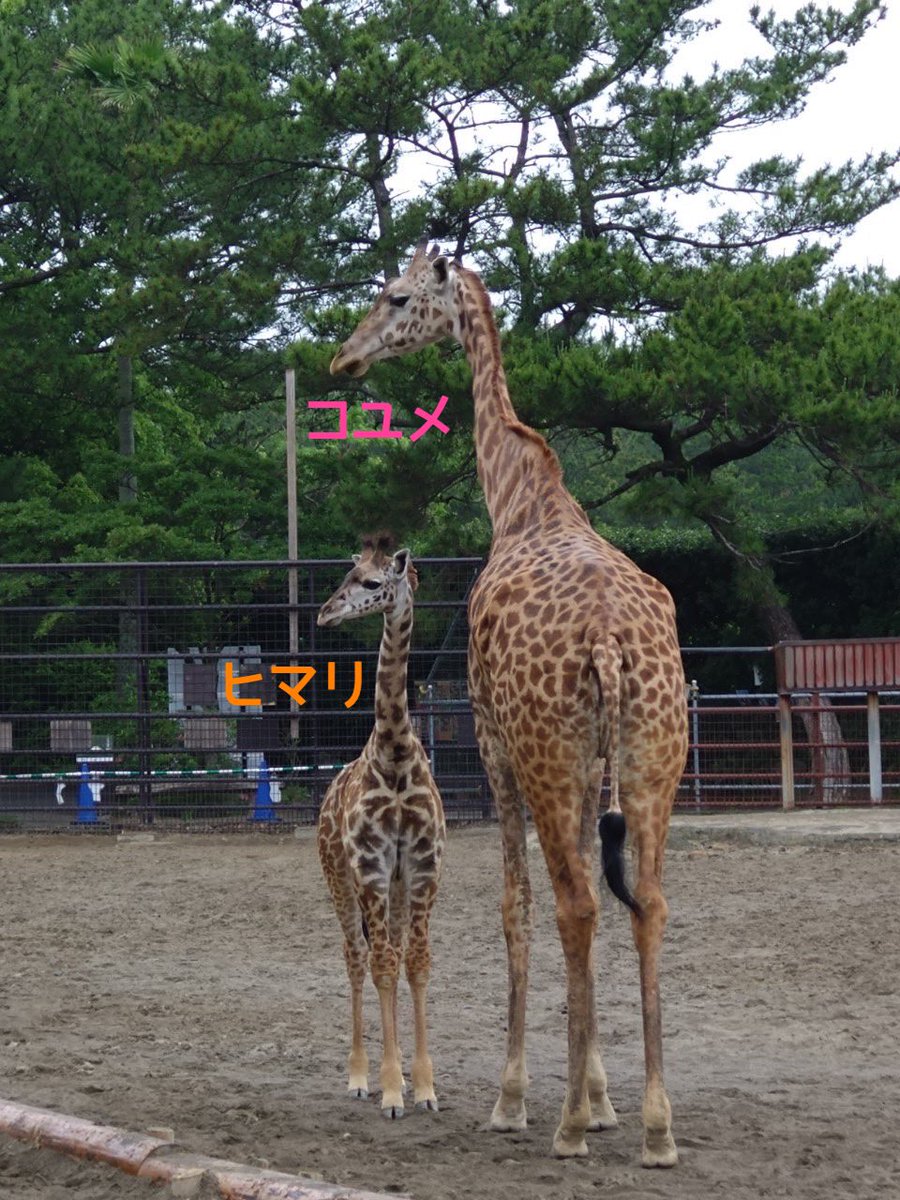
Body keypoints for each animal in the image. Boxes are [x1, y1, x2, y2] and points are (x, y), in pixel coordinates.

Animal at [331, 241, 691, 1161]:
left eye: (396, 297)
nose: (345, 359)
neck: (521, 498)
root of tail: (610, 642)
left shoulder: (495, 745)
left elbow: (512, 906)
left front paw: (526, 1099)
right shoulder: (596, 764)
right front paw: (602, 1098)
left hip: (547, 754)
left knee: (571, 903)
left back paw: (558, 1125)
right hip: (653, 759)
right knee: (647, 903)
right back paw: (656, 1127)